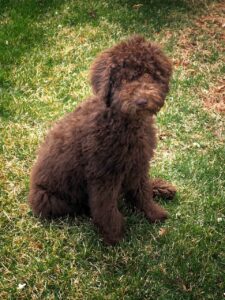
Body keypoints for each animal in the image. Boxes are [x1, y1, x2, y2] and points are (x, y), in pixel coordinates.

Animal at [28, 36, 176, 245]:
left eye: (148, 73)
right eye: (122, 79)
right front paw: (114, 236)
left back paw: (160, 187)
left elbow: (141, 191)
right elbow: (106, 207)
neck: (122, 121)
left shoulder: (138, 162)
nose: (141, 101)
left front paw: (153, 213)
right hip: (48, 198)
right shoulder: (103, 174)